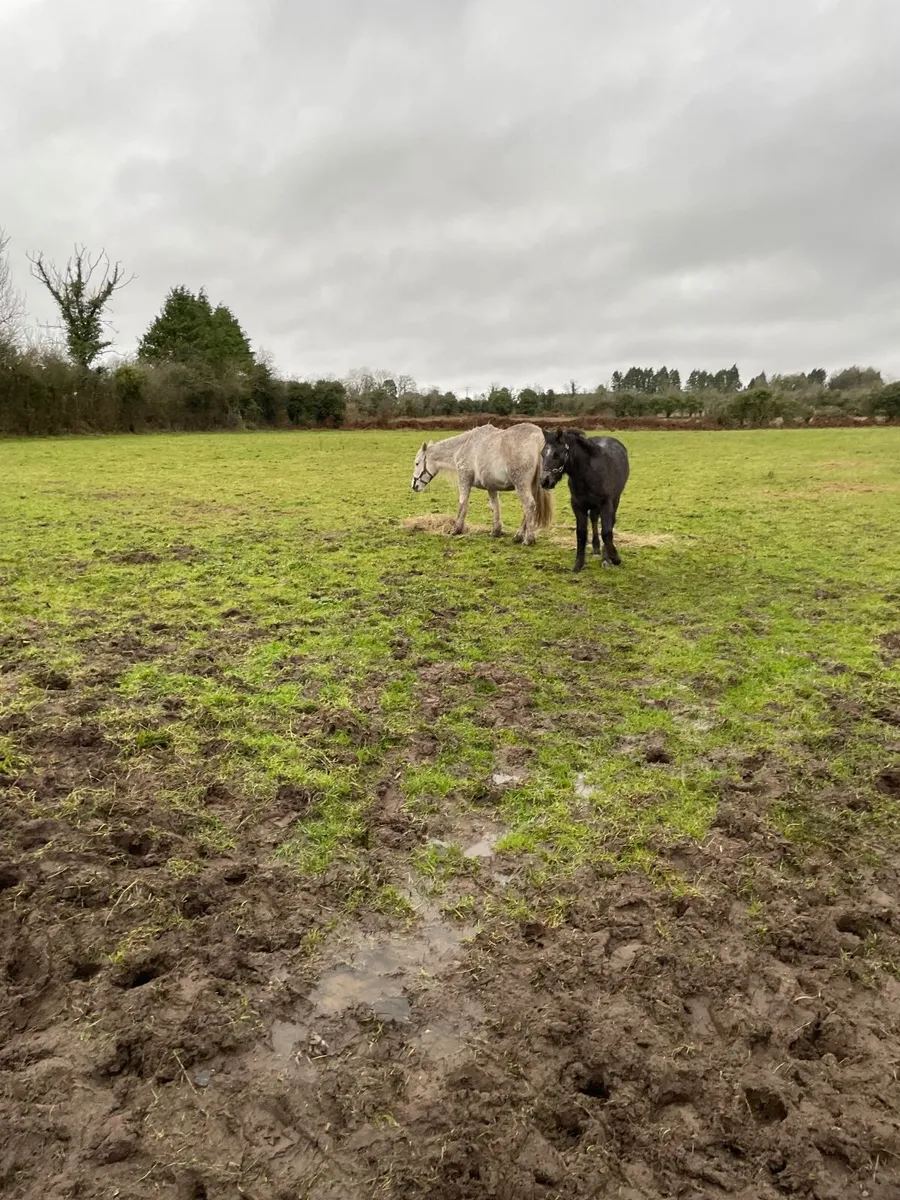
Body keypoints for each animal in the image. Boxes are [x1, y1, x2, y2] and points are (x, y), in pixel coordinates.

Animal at [410, 422, 554, 544]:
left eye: (417, 463)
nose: (414, 486)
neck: (463, 447)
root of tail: (538, 438)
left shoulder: (464, 481)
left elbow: (462, 504)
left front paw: (456, 529)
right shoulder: (491, 487)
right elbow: (495, 507)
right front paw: (495, 531)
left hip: (521, 485)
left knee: (529, 505)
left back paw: (527, 539)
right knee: (529, 509)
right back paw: (518, 536)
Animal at [540, 429, 630, 572]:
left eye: (556, 454)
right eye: (542, 454)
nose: (545, 481)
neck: (589, 473)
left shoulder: (606, 504)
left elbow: (606, 531)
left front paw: (613, 559)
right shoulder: (578, 506)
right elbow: (581, 533)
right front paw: (578, 565)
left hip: (615, 500)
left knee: (609, 522)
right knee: (593, 519)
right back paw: (596, 548)